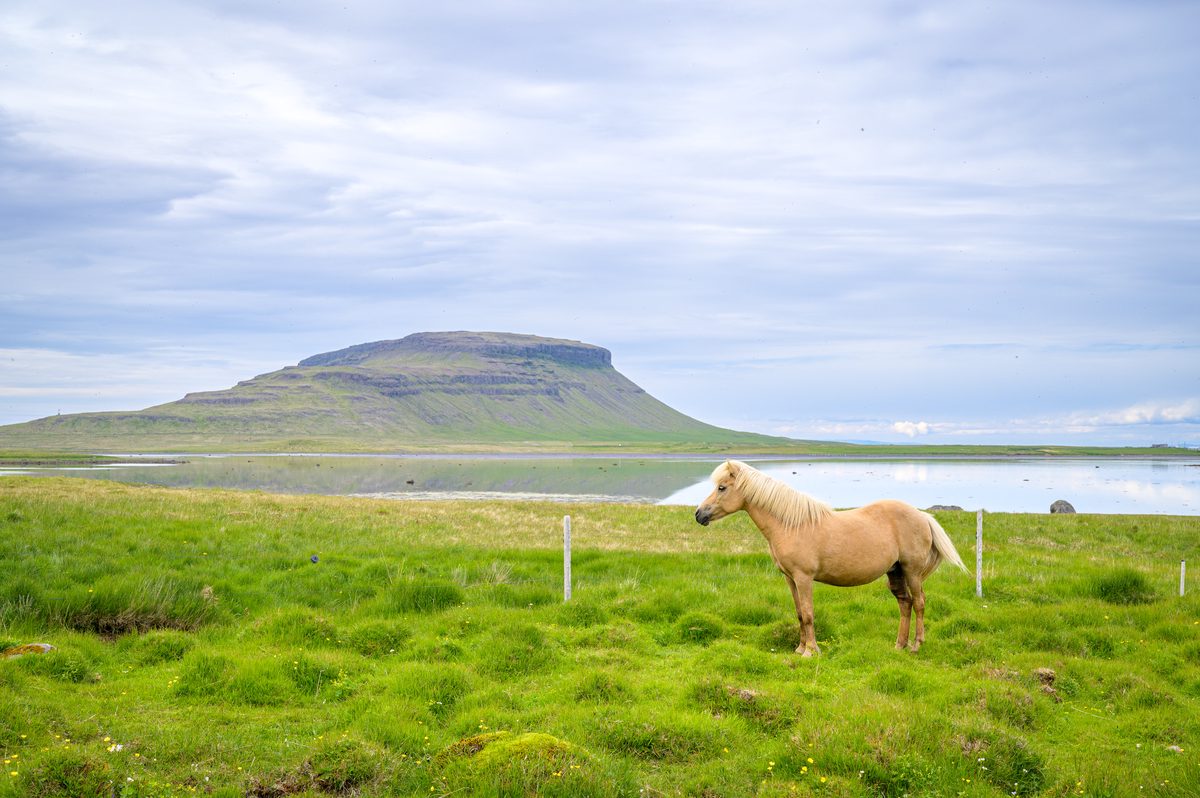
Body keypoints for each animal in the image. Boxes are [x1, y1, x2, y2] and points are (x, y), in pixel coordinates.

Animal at [694, 460, 966, 656]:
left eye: (721, 487)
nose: (699, 514)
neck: (791, 524)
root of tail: (923, 516)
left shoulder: (804, 578)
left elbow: (808, 613)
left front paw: (811, 652)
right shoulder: (790, 579)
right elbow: (799, 613)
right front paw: (799, 648)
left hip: (912, 571)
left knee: (919, 603)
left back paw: (916, 645)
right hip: (895, 571)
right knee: (905, 603)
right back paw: (899, 645)